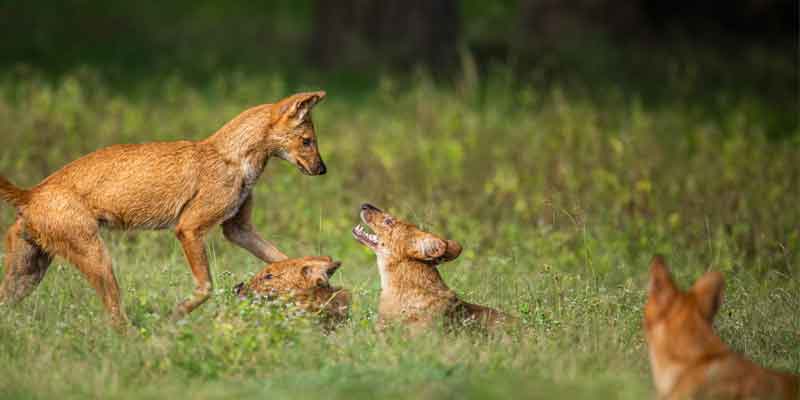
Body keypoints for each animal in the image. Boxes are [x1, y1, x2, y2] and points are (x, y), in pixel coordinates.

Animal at [0, 92, 328, 330]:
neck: (235, 157)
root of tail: (30, 193)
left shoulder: (239, 229)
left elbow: (282, 258)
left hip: (27, 274)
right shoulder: (189, 228)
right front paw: (176, 315)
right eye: (307, 141)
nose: (323, 169)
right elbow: (206, 287)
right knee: (116, 319)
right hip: (98, 259)